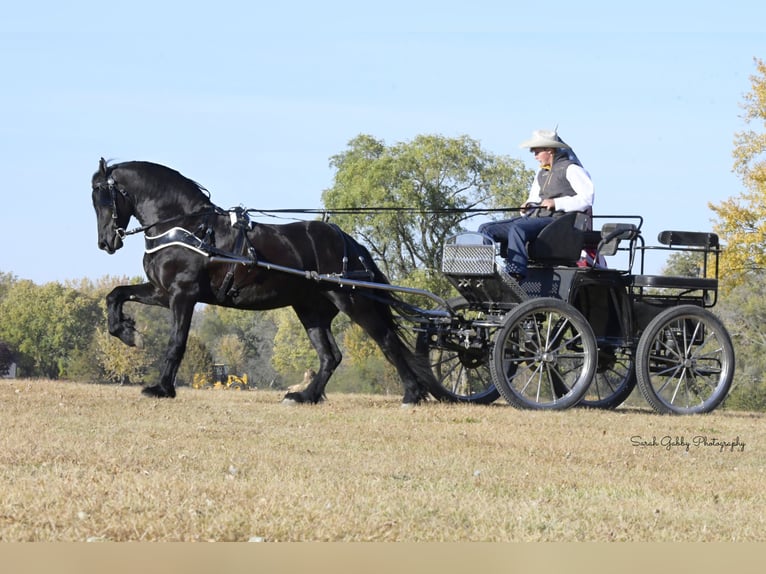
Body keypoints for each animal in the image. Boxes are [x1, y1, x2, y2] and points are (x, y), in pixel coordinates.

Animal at [94, 160, 444, 408]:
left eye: (102, 196)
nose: (106, 243)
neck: (186, 227)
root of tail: (346, 240)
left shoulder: (183, 295)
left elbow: (176, 342)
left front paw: (161, 388)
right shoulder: (161, 292)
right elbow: (115, 295)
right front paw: (127, 333)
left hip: (353, 301)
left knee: (386, 341)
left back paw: (412, 394)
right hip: (311, 310)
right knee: (331, 356)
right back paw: (304, 396)